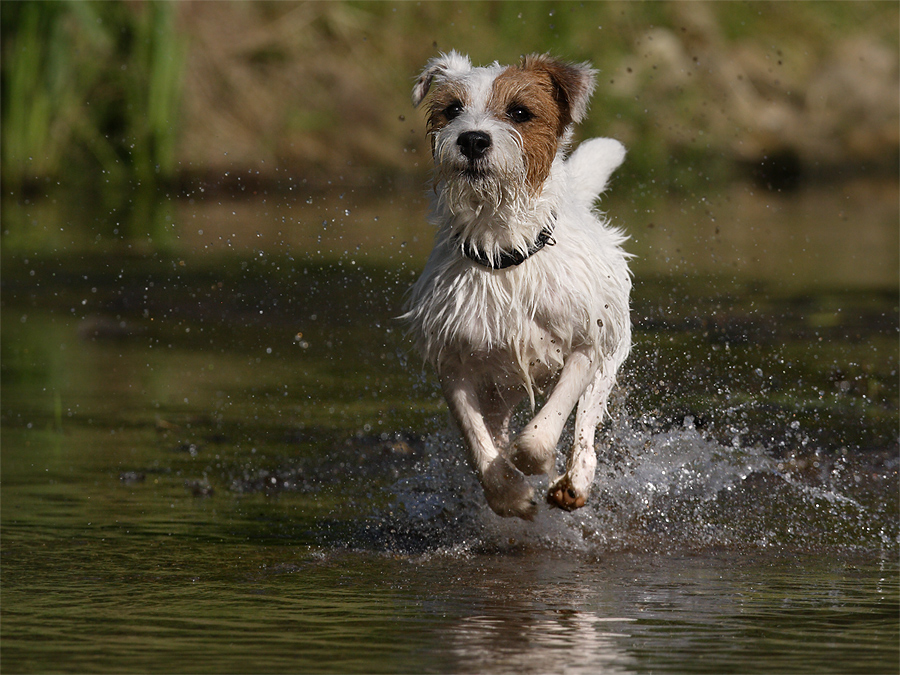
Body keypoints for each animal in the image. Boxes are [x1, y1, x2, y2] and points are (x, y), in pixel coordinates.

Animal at [402, 51, 632, 524]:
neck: (503, 250)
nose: (473, 140)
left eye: (520, 113)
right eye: (452, 109)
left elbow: (544, 429)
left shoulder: (584, 346)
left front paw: (532, 461)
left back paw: (574, 480)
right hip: (499, 389)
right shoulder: (455, 363)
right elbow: (478, 443)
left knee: (585, 429)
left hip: (607, 361)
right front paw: (507, 492)